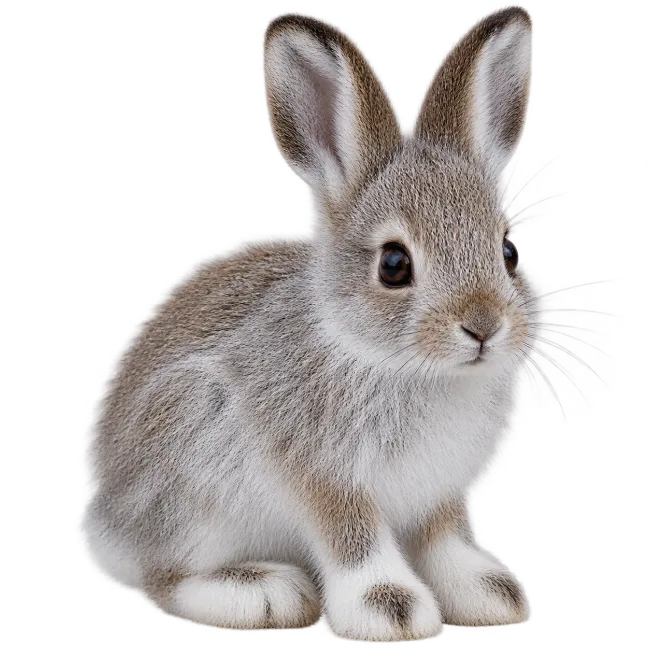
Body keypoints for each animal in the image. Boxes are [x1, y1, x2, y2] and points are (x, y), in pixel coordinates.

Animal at [75, 3, 554, 643]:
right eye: (393, 264)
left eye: (508, 252)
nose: (483, 326)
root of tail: (100, 519)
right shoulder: (326, 482)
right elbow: (355, 542)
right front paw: (392, 612)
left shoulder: (440, 498)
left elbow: (447, 541)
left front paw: (491, 595)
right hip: (190, 458)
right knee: (165, 576)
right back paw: (266, 593)